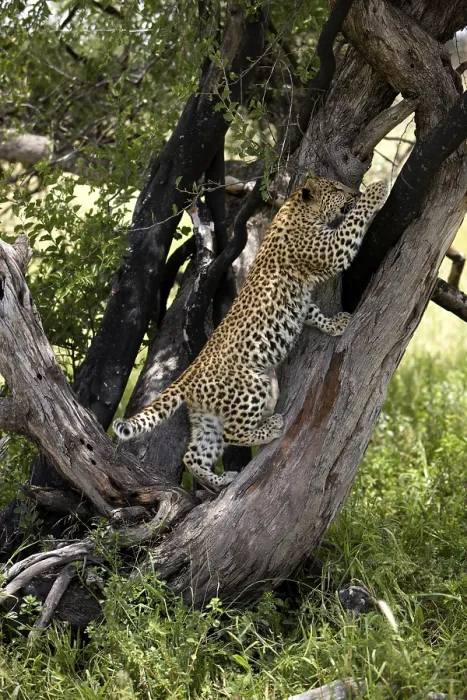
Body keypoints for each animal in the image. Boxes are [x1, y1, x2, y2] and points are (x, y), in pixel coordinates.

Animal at [114, 175, 388, 491]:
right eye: (336, 189)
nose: (354, 191)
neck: (296, 207)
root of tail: (189, 374)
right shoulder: (330, 249)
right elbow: (354, 221)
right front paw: (377, 191)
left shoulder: (303, 297)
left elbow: (311, 312)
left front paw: (334, 324)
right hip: (252, 386)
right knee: (233, 433)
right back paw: (269, 429)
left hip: (207, 416)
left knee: (193, 455)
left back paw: (220, 480)